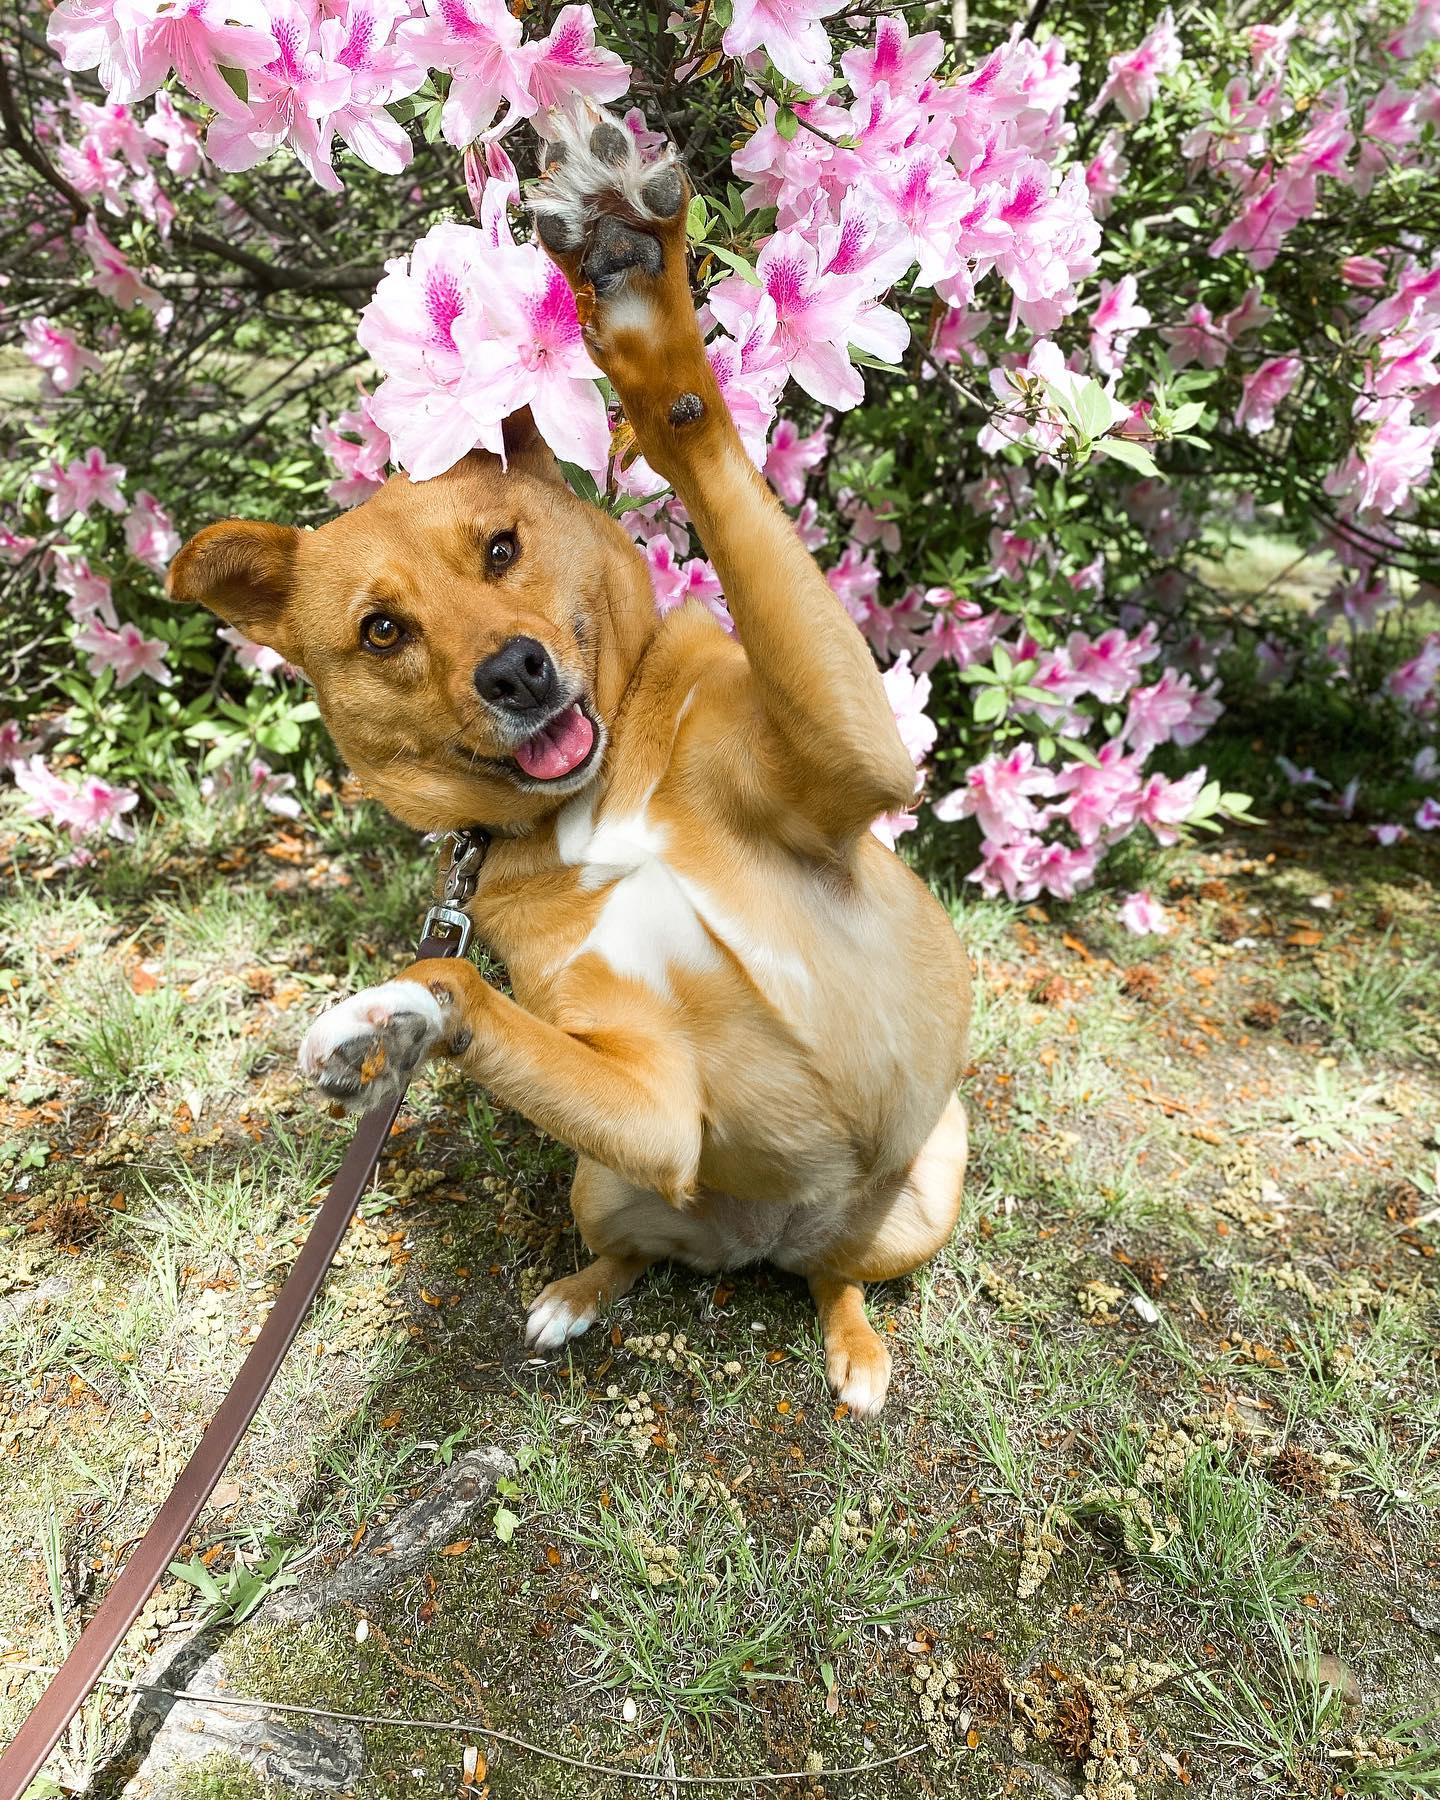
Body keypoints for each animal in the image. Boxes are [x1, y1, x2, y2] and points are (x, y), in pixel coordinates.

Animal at [171, 112, 979, 1418]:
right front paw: (399, 1023)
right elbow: (468, 992)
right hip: (605, 1179)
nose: (515, 673)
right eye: (382, 631)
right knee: (637, 1244)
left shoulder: (854, 763)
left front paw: (641, 308)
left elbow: (696, 426)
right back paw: (578, 1294)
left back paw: (853, 1344)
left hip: (927, 1192)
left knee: (842, 1279)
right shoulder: (659, 1107)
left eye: (501, 548)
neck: (596, 804)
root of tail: (765, 1241)